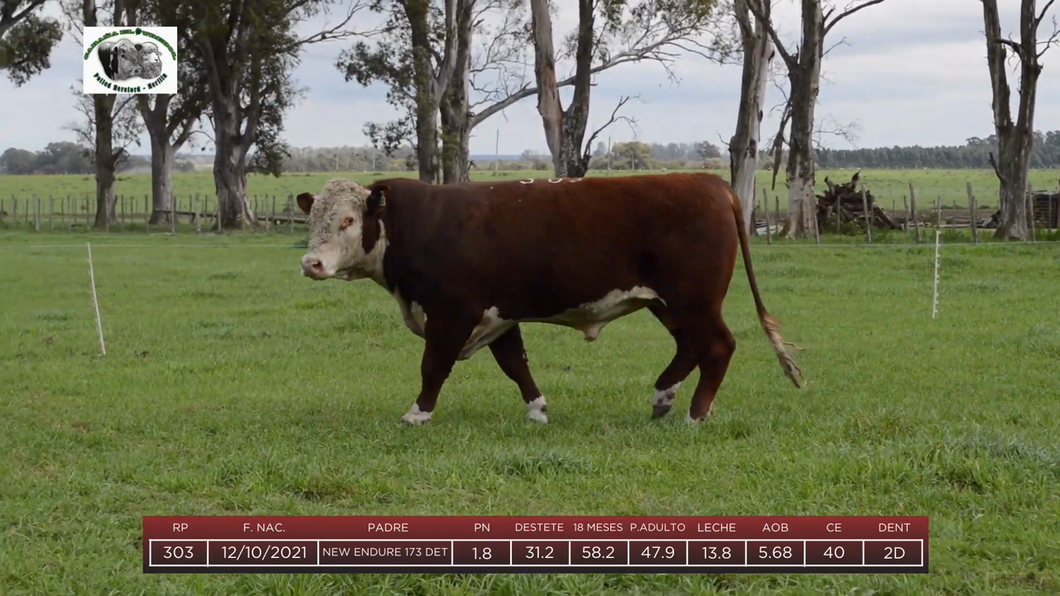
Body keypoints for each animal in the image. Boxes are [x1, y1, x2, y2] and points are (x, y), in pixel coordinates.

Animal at [296, 171, 801, 422]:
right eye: (313, 217)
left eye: (347, 220)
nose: (310, 264)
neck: (414, 225)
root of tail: (710, 180)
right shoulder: (497, 312)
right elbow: (514, 363)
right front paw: (537, 409)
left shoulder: (454, 311)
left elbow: (433, 365)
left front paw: (417, 414)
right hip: (671, 304)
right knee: (690, 348)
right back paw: (662, 399)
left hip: (694, 299)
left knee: (717, 346)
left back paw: (696, 414)